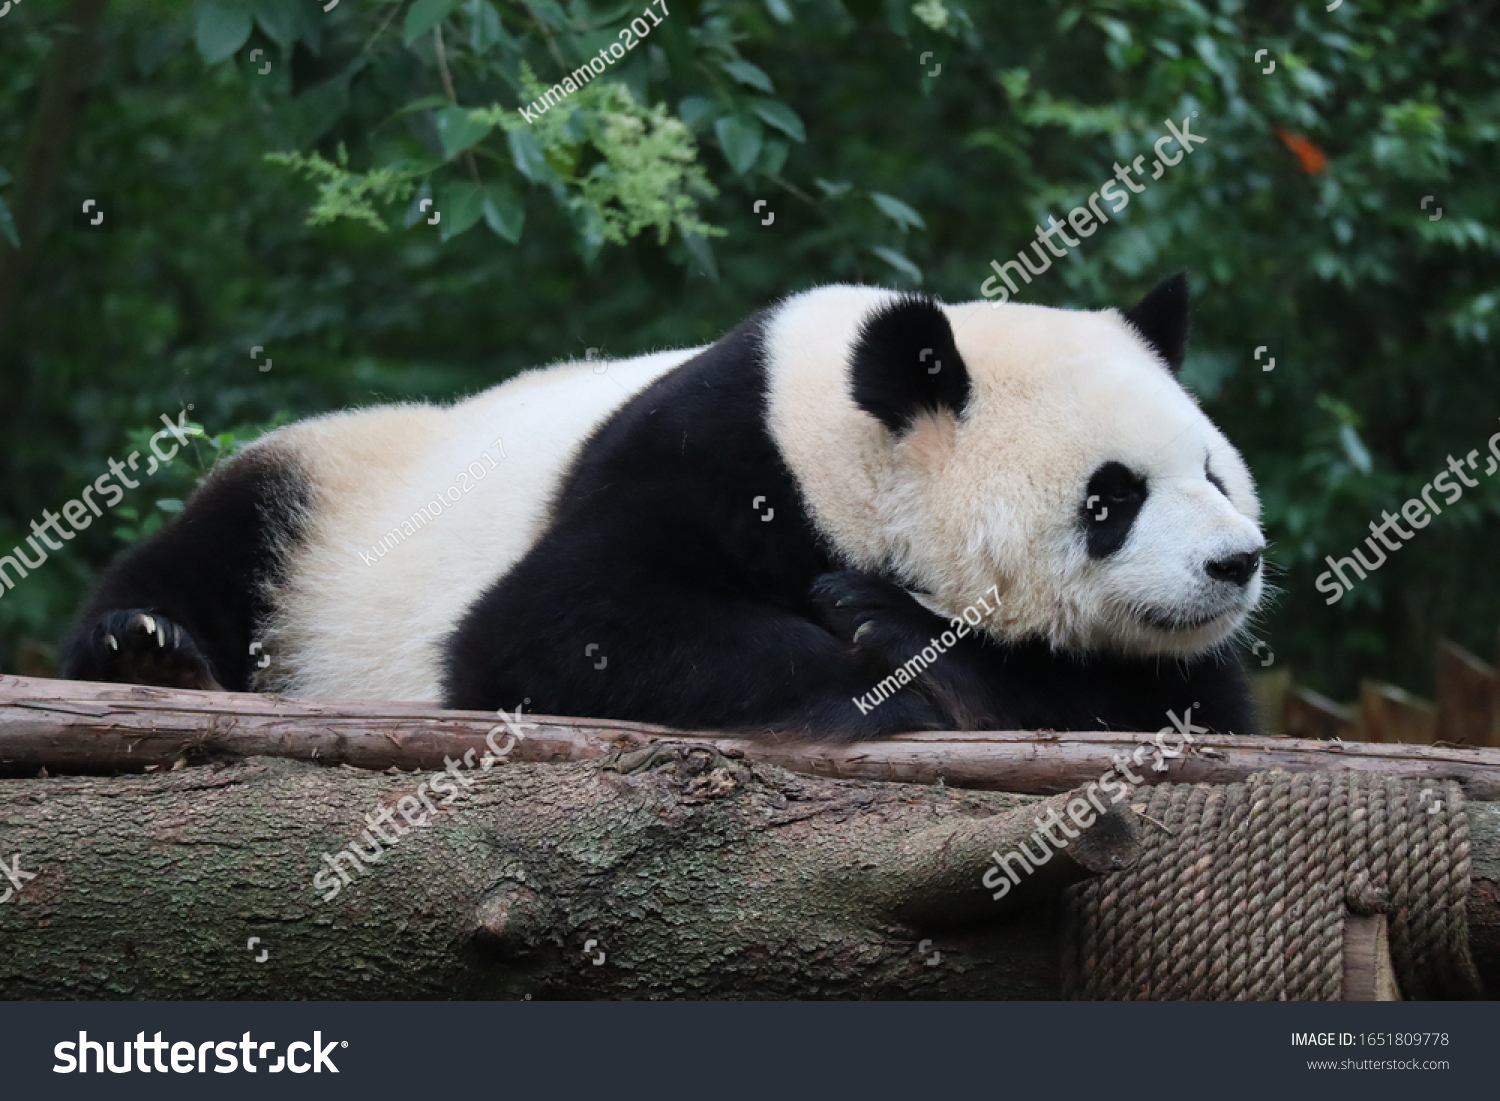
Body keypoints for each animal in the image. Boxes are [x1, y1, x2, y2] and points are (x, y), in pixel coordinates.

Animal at [55, 276, 1266, 741]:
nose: (1235, 564)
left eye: (1213, 472)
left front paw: (909, 636)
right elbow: (554, 626)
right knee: (213, 546)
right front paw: (882, 663)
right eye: (1112, 497)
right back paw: (149, 650)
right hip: (329, 497)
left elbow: (1181, 709)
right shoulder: (709, 458)